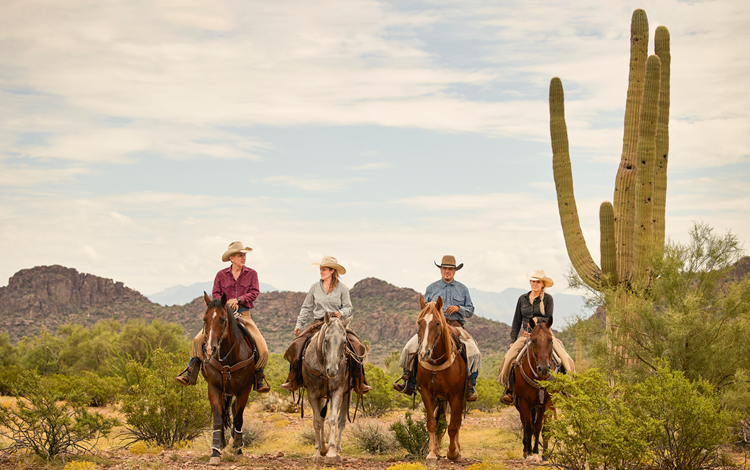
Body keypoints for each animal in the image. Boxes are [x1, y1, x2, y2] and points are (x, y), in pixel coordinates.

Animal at [201, 292, 258, 464]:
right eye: (204, 320)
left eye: (223, 319)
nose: (210, 349)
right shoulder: (214, 389)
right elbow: (218, 419)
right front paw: (215, 451)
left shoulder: (244, 391)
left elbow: (238, 418)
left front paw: (238, 449)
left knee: (233, 410)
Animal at [302, 312, 352, 458]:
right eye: (326, 340)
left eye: (344, 342)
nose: (333, 371)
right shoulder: (312, 393)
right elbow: (318, 421)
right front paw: (318, 451)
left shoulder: (337, 391)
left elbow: (333, 419)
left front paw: (331, 451)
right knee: (321, 417)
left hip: (347, 394)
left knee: (341, 421)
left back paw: (337, 449)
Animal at [414, 296, 468, 460]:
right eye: (420, 322)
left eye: (437, 323)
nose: (424, 353)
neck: (437, 362)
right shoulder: (427, 394)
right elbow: (432, 423)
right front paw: (432, 453)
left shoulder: (456, 396)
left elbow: (453, 426)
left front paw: (453, 452)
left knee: (456, 422)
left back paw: (457, 449)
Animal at [512, 318, 560, 460]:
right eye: (533, 340)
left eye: (550, 340)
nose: (543, 368)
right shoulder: (524, 402)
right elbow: (528, 427)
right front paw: (529, 453)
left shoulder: (547, 402)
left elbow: (540, 427)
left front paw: (541, 453)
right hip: (520, 405)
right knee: (524, 423)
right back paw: (525, 449)